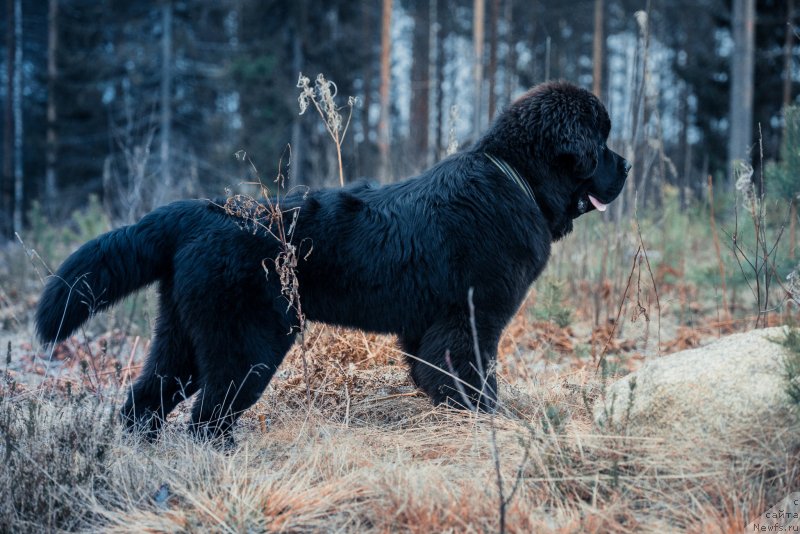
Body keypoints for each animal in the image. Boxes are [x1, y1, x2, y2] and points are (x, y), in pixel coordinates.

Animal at [37, 81, 628, 442]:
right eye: (601, 142)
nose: (627, 165)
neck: (516, 177)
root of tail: (193, 211)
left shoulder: (430, 329)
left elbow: (438, 374)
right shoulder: (470, 321)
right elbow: (471, 379)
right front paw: (490, 426)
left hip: (182, 335)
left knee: (145, 400)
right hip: (247, 344)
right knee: (208, 415)